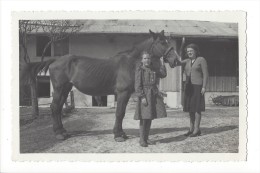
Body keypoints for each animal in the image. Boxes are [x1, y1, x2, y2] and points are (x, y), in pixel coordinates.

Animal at [37, 29, 175, 141]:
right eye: (162, 42)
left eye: (167, 41)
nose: (175, 60)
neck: (129, 63)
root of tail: (55, 60)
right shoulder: (122, 93)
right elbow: (119, 113)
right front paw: (118, 135)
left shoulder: (126, 94)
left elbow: (122, 113)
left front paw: (121, 133)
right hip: (59, 89)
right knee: (55, 107)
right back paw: (59, 134)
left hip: (66, 89)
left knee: (59, 108)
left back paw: (63, 131)